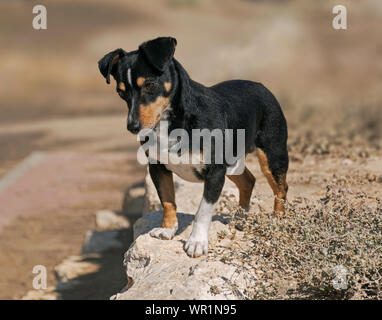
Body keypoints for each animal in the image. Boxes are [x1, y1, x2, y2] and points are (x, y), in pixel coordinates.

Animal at [98, 37, 290, 258]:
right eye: (121, 92)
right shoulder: (157, 167)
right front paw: (167, 229)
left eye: (150, 84)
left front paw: (196, 242)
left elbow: (203, 211)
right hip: (232, 164)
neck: (171, 121)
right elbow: (167, 200)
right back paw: (240, 219)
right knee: (248, 181)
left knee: (281, 187)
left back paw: (278, 220)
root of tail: (261, 85)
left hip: (272, 156)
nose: (133, 127)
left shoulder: (215, 172)